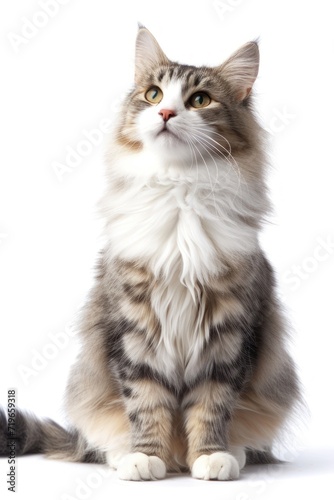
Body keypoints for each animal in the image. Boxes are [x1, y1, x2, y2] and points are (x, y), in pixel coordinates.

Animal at [0, 26, 300, 480]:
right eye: (154, 94)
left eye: (200, 100)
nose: (166, 114)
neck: (179, 190)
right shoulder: (131, 326)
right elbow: (146, 401)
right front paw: (146, 457)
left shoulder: (230, 331)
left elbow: (212, 405)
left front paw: (210, 456)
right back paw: (132, 455)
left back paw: (229, 453)